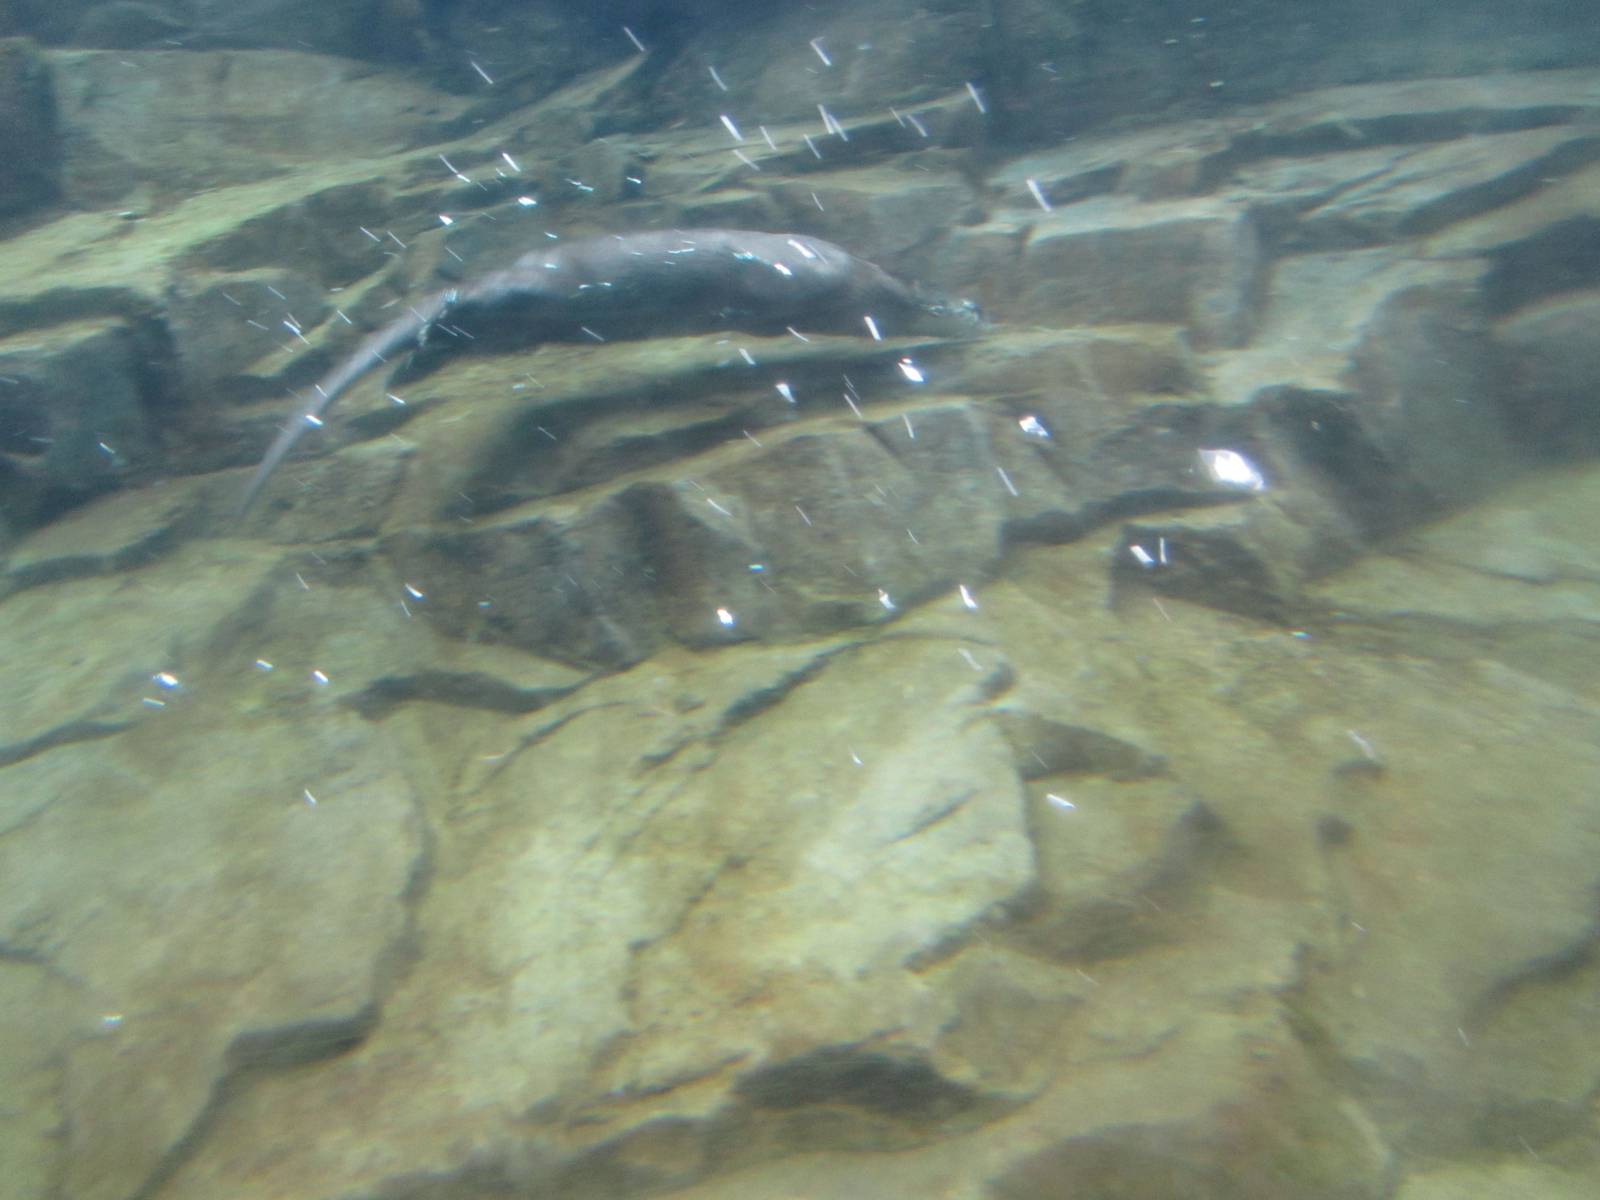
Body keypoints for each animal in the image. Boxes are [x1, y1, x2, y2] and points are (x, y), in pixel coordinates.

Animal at [237, 229, 977, 514]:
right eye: (954, 299)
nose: (977, 309)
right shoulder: (824, 274)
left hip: (520, 325)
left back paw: (406, 374)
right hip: (533, 293)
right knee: (466, 309)